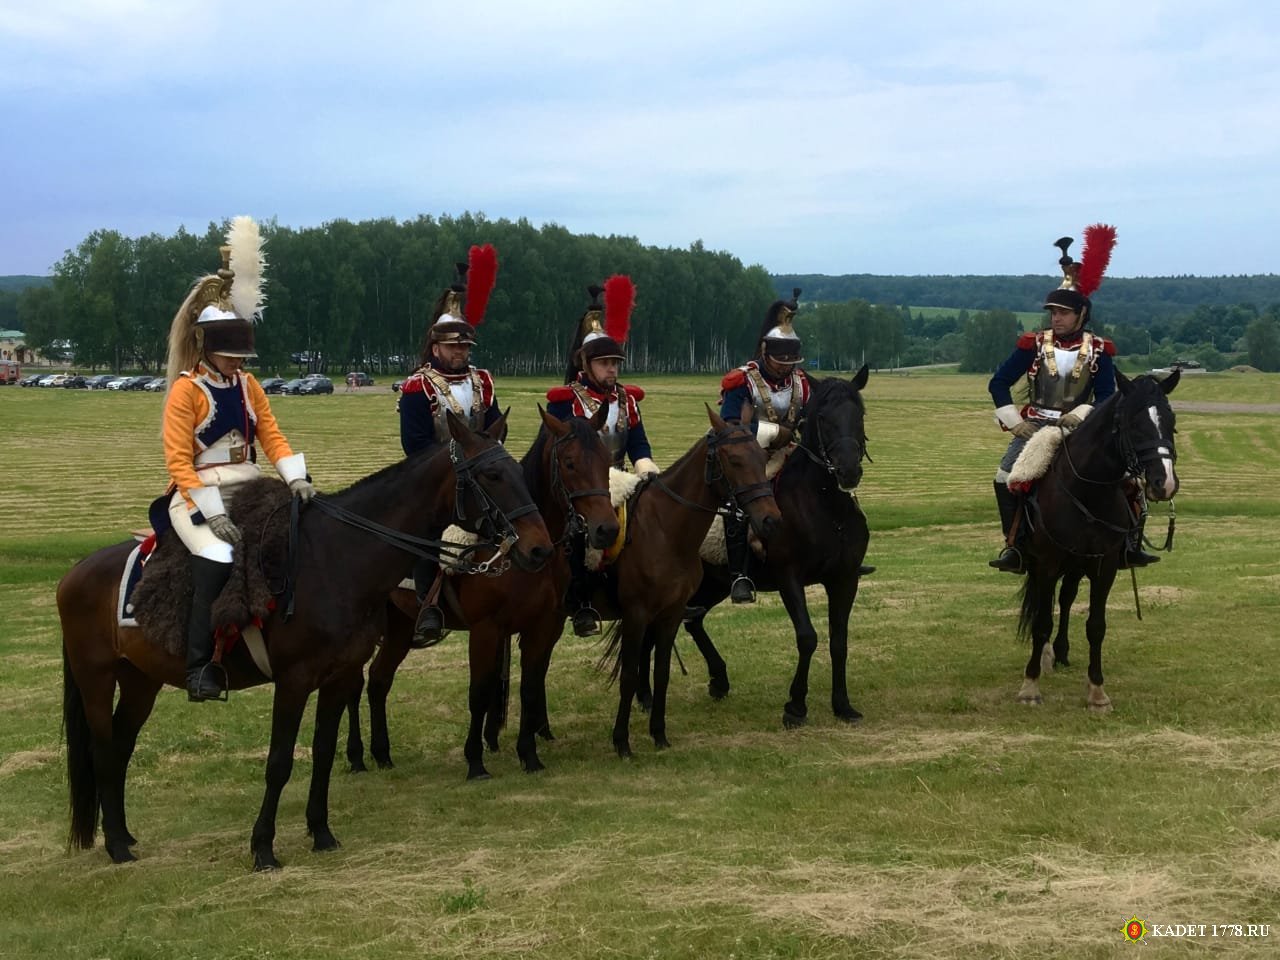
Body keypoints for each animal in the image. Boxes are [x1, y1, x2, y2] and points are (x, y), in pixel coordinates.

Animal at [58, 414, 550, 870]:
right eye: (492, 475)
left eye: (519, 471)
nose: (540, 549)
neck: (335, 558)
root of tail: (75, 572)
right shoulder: (293, 681)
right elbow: (279, 762)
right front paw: (263, 848)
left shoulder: (339, 676)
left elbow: (324, 752)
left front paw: (321, 832)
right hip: (96, 679)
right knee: (103, 748)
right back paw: (116, 845)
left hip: (141, 680)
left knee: (121, 745)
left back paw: (123, 834)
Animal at [343, 407, 616, 783]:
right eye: (570, 463)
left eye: (608, 459)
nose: (607, 529)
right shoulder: (486, 629)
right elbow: (480, 692)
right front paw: (475, 761)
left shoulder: (542, 626)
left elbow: (530, 688)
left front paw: (529, 755)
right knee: (353, 684)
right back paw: (356, 756)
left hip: (400, 626)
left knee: (379, 680)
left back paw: (382, 754)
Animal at [599, 407, 778, 757]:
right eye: (734, 460)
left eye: (761, 457)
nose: (770, 519)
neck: (665, 529)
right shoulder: (636, 613)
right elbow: (628, 674)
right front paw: (621, 741)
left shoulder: (669, 612)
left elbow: (663, 672)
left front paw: (659, 734)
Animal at [675, 368, 875, 727]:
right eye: (823, 417)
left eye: (860, 414)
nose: (849, 470)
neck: (826, 508)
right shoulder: (789, 577)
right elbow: (807, 637)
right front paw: (795, 706)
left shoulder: (845, 579)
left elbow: (839, 641)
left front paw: (842, 704)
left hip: (714, 584)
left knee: (693, 621)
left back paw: (719, 679)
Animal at [1008, 371, 1177, 711]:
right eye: (1133, 423)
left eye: (1172, 421)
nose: (1164, 483)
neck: (1086, 491)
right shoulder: (1046, 563)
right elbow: (1041, 622)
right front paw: (1030, 686)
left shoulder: (1104, 565)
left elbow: (1096, 626)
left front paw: (1097, 692)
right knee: (1045, 604)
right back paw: (1046, 656)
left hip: (1075, 565)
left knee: (1066, 598)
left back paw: (1060, 652)